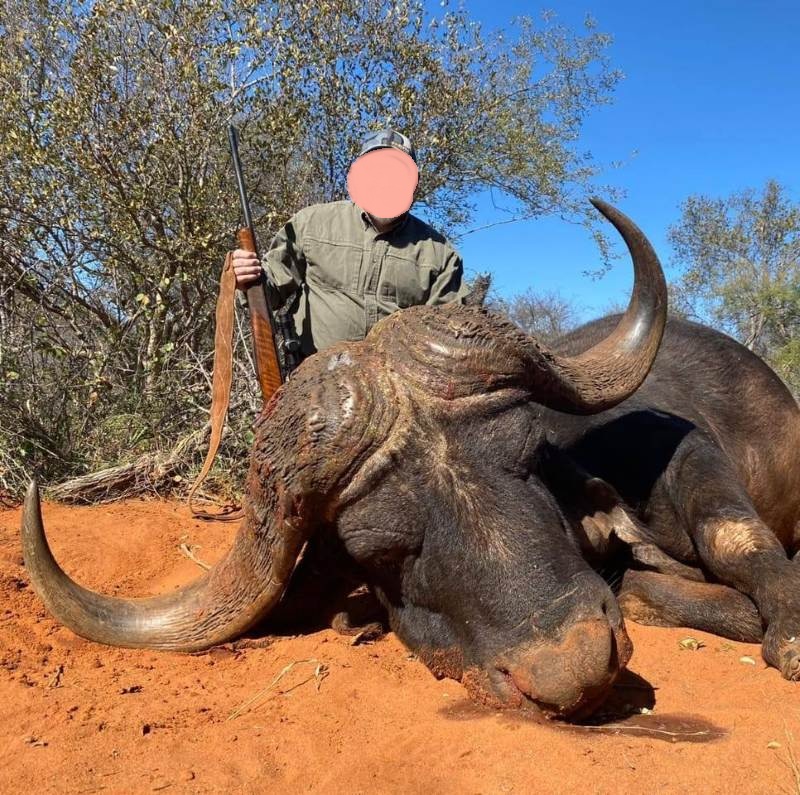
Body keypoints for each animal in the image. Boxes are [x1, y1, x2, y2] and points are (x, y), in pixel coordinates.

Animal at [20, 200, 800, 720]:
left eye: (526, 458)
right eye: (381, 550)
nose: (573, 666)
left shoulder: (684, 452)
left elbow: (734, 537)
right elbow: (648, 584)